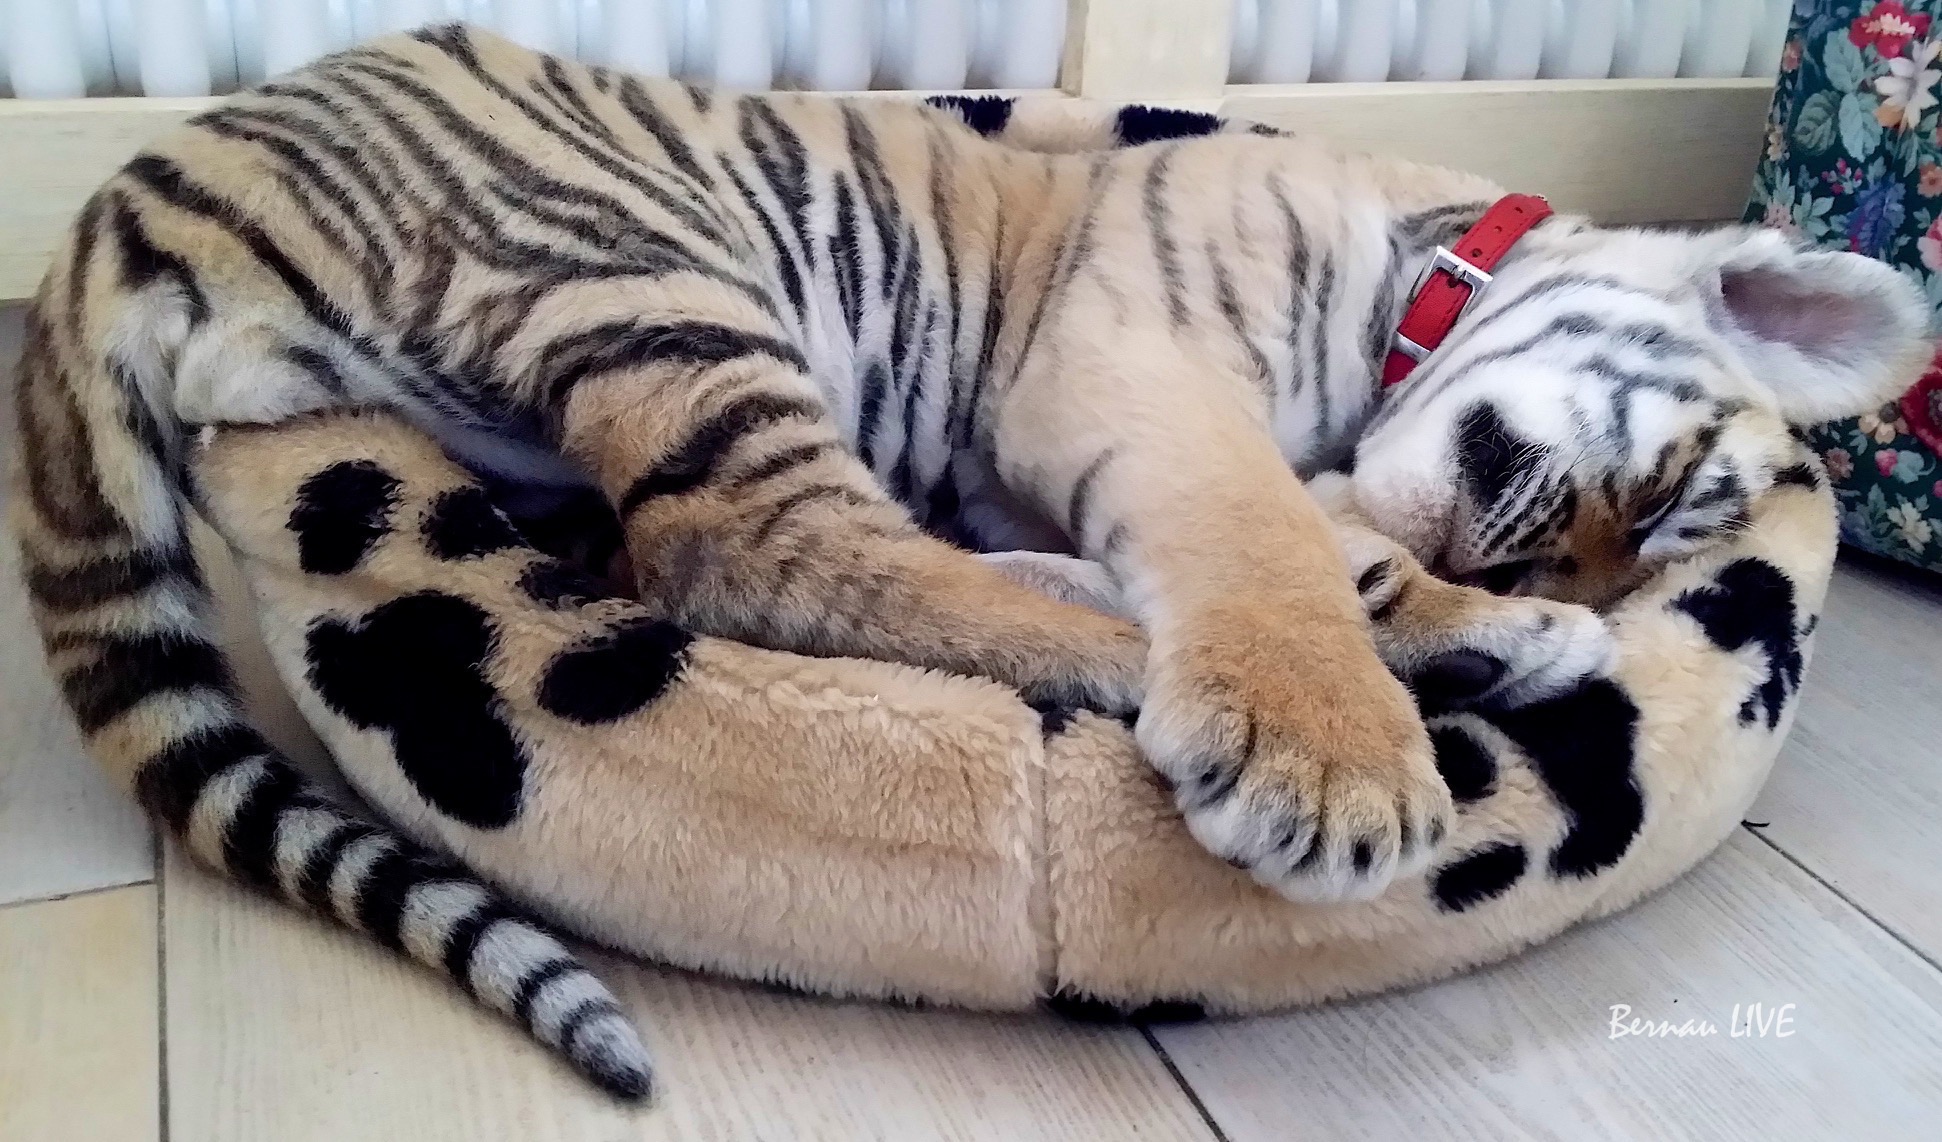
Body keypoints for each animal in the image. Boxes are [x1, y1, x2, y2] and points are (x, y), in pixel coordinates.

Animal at [10, 24, 1926, 1100]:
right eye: (1664, 496)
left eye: (1647, 546)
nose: (1581, 574)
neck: (1420, 265)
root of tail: (133, 188)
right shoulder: (1147, 377)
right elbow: (1279, 552)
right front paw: (1342, 753)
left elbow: (1341, 549)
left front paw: (1499, 635)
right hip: (649, 251)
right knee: (747, 546)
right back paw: (1113, 664)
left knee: (709, 540)